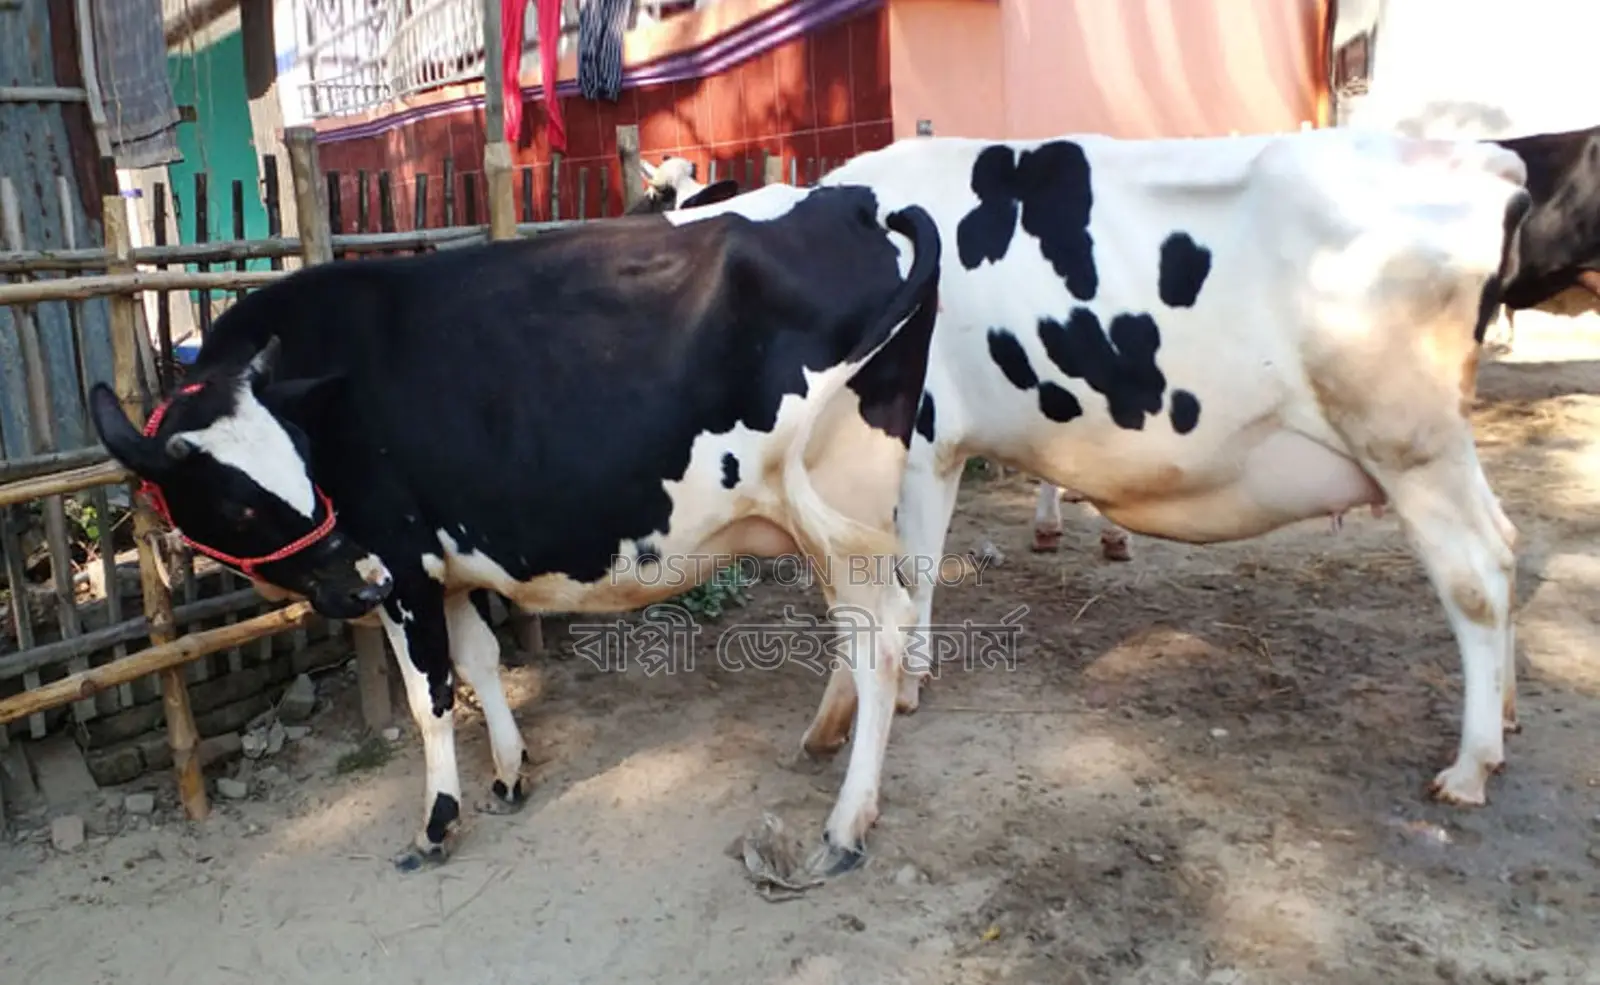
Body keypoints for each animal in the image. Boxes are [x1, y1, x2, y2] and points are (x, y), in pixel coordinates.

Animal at [87, 184, 943, 875]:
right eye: (239, 500)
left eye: (297, 466)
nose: (358, 579)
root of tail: (851, 200)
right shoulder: (444, 561)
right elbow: (482, 660)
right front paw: (508, 773)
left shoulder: (403, 558)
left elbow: (430, 694)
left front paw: (436, 824)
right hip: (835, 518)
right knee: (862, 626)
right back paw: (824, 737)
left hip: (839, 502)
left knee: (882, 633)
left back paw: (846, 822)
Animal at [781, 128, 1532, 863]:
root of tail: (1484, 159)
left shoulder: (924, 439)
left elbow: (915, 571)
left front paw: (907, 685)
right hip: (1435, 449)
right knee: (1506, 543)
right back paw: (1506, 714)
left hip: (1408, 443)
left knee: (1476, 575)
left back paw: (1471, 763)